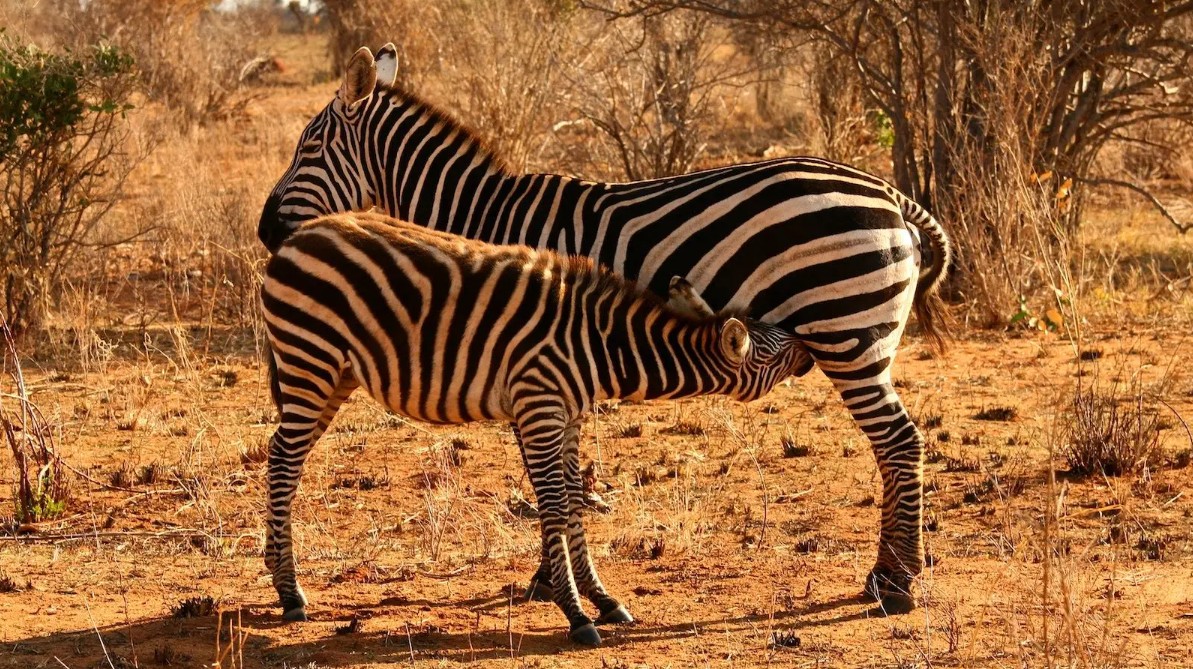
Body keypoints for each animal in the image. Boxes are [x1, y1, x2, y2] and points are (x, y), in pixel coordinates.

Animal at [261, 211, 809, 645]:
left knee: (282, 453)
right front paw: (576, 615)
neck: (604, 346)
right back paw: (290, 593)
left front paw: (603, 600)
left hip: (335, 373)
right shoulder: (541, 405)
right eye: (776, 350)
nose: (808, 345)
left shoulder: (568, 416)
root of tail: (299, 235)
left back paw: (277, 571)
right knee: (284, 460)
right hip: (310, 359)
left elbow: (574, 501)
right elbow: (554, 506)